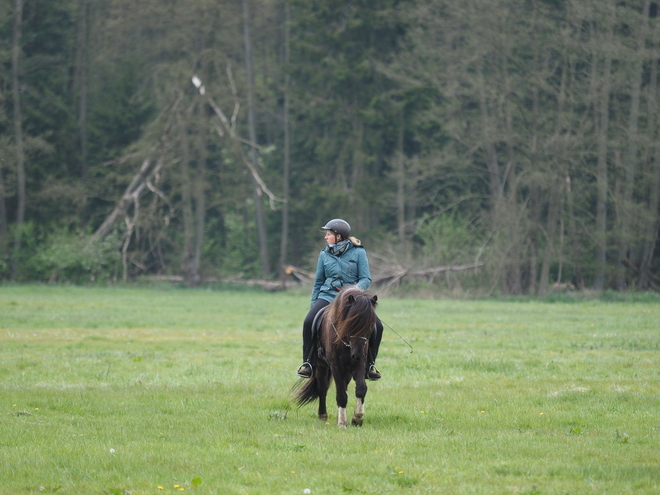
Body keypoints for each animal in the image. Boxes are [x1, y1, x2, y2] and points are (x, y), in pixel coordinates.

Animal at [292, 286, 378, 430]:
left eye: (371, 326)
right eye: (351, 323)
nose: (357, 355)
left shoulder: (359, 364)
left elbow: (361, 388)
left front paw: (357, 418)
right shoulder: (336, 365)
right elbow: (341, 394)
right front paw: (342, 423)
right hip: (322, 366)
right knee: (322, 389)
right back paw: (323, 415)